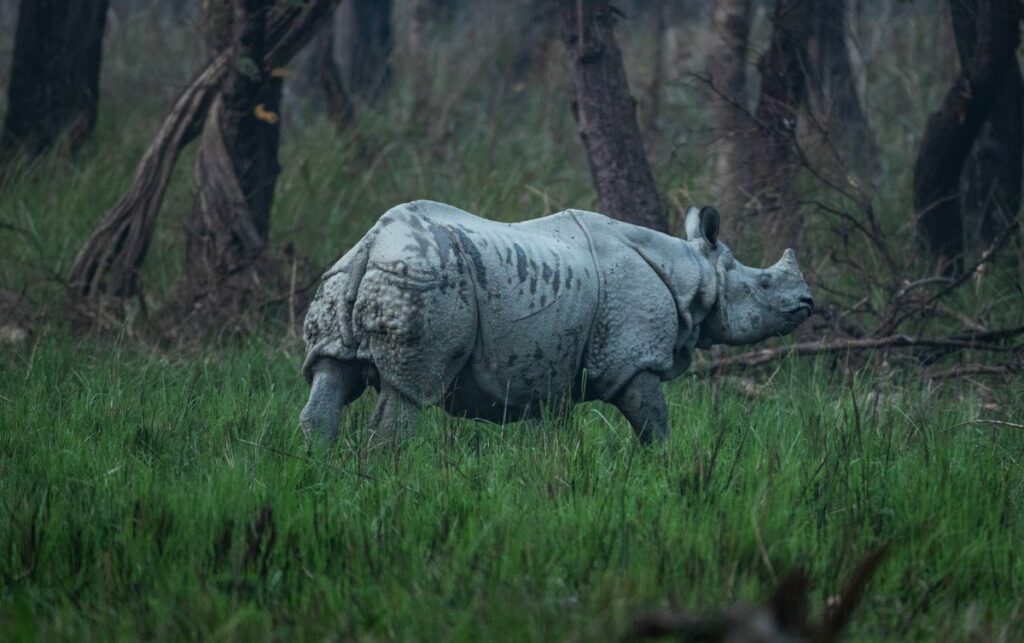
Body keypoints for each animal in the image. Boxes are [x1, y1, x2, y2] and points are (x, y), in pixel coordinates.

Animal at [299, 199, 811, 442]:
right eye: (764, 284)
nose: (807, 302)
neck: (696, 274)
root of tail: (372, 243)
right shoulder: (631, 360)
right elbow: (654, 422)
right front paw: (666, 466)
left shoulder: (547, 364)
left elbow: (549, 432)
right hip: (423, 278)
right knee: (410, 391)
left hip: (348, 274)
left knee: (332, 374)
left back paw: (320, 469)